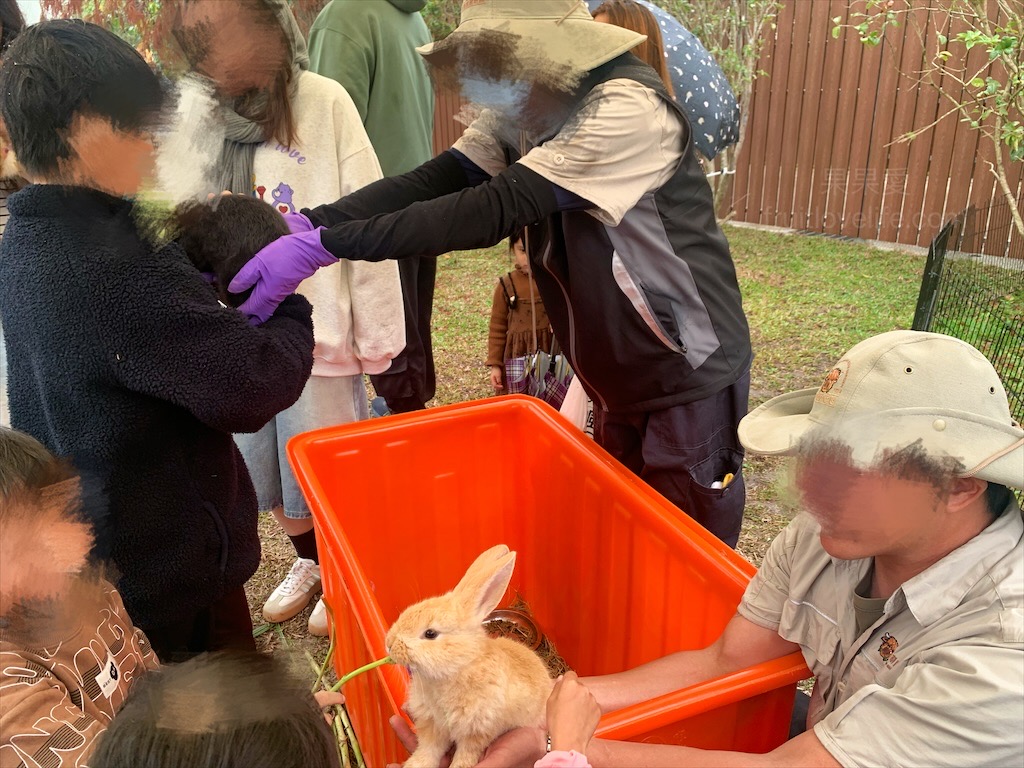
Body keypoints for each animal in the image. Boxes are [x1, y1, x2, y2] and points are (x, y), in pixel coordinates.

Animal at [387, 544, 557, 768]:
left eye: (430, 634)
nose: (388, 643)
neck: (457, 668)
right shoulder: (433, 725)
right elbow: (428, 750)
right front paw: (415, 765)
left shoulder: (476, 732)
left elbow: (465, 755)